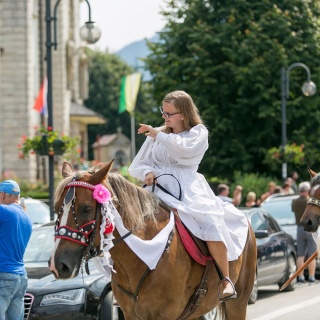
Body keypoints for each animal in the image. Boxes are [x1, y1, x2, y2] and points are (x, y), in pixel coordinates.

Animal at [48, 161, 256, 320]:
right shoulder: (131, 315)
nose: (59, 265)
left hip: (238, 302)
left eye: (86, 208)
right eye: (57, 208)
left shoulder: (165, 315)